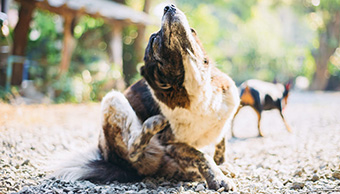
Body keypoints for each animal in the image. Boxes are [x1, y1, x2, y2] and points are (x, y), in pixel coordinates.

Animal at [52, 4, 239, 191]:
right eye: (154, 39)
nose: (168, 6)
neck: (196, 87)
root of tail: (114, 164)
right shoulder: (171, 145)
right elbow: (201, 156)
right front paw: (217, 178)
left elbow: (220, 147)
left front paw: (222, 166)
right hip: (113, 100)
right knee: (133, 151)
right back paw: (152, 124)